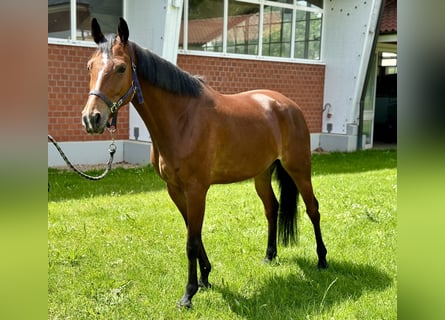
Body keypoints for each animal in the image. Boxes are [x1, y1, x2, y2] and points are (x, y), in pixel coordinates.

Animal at [82, 17, 326, 308]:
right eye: (90, 66)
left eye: (120, 68)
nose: (92, 118)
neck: (182, 120)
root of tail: (288, 105)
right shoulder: (175, 190)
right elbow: (193, 234)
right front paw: (205, 278)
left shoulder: (197, 190)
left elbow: (191, 242)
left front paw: (188, 294)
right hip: (261, 173)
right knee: (272, 208)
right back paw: (269, 255)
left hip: (299, 168)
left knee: (313, 209)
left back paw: (322, 259)